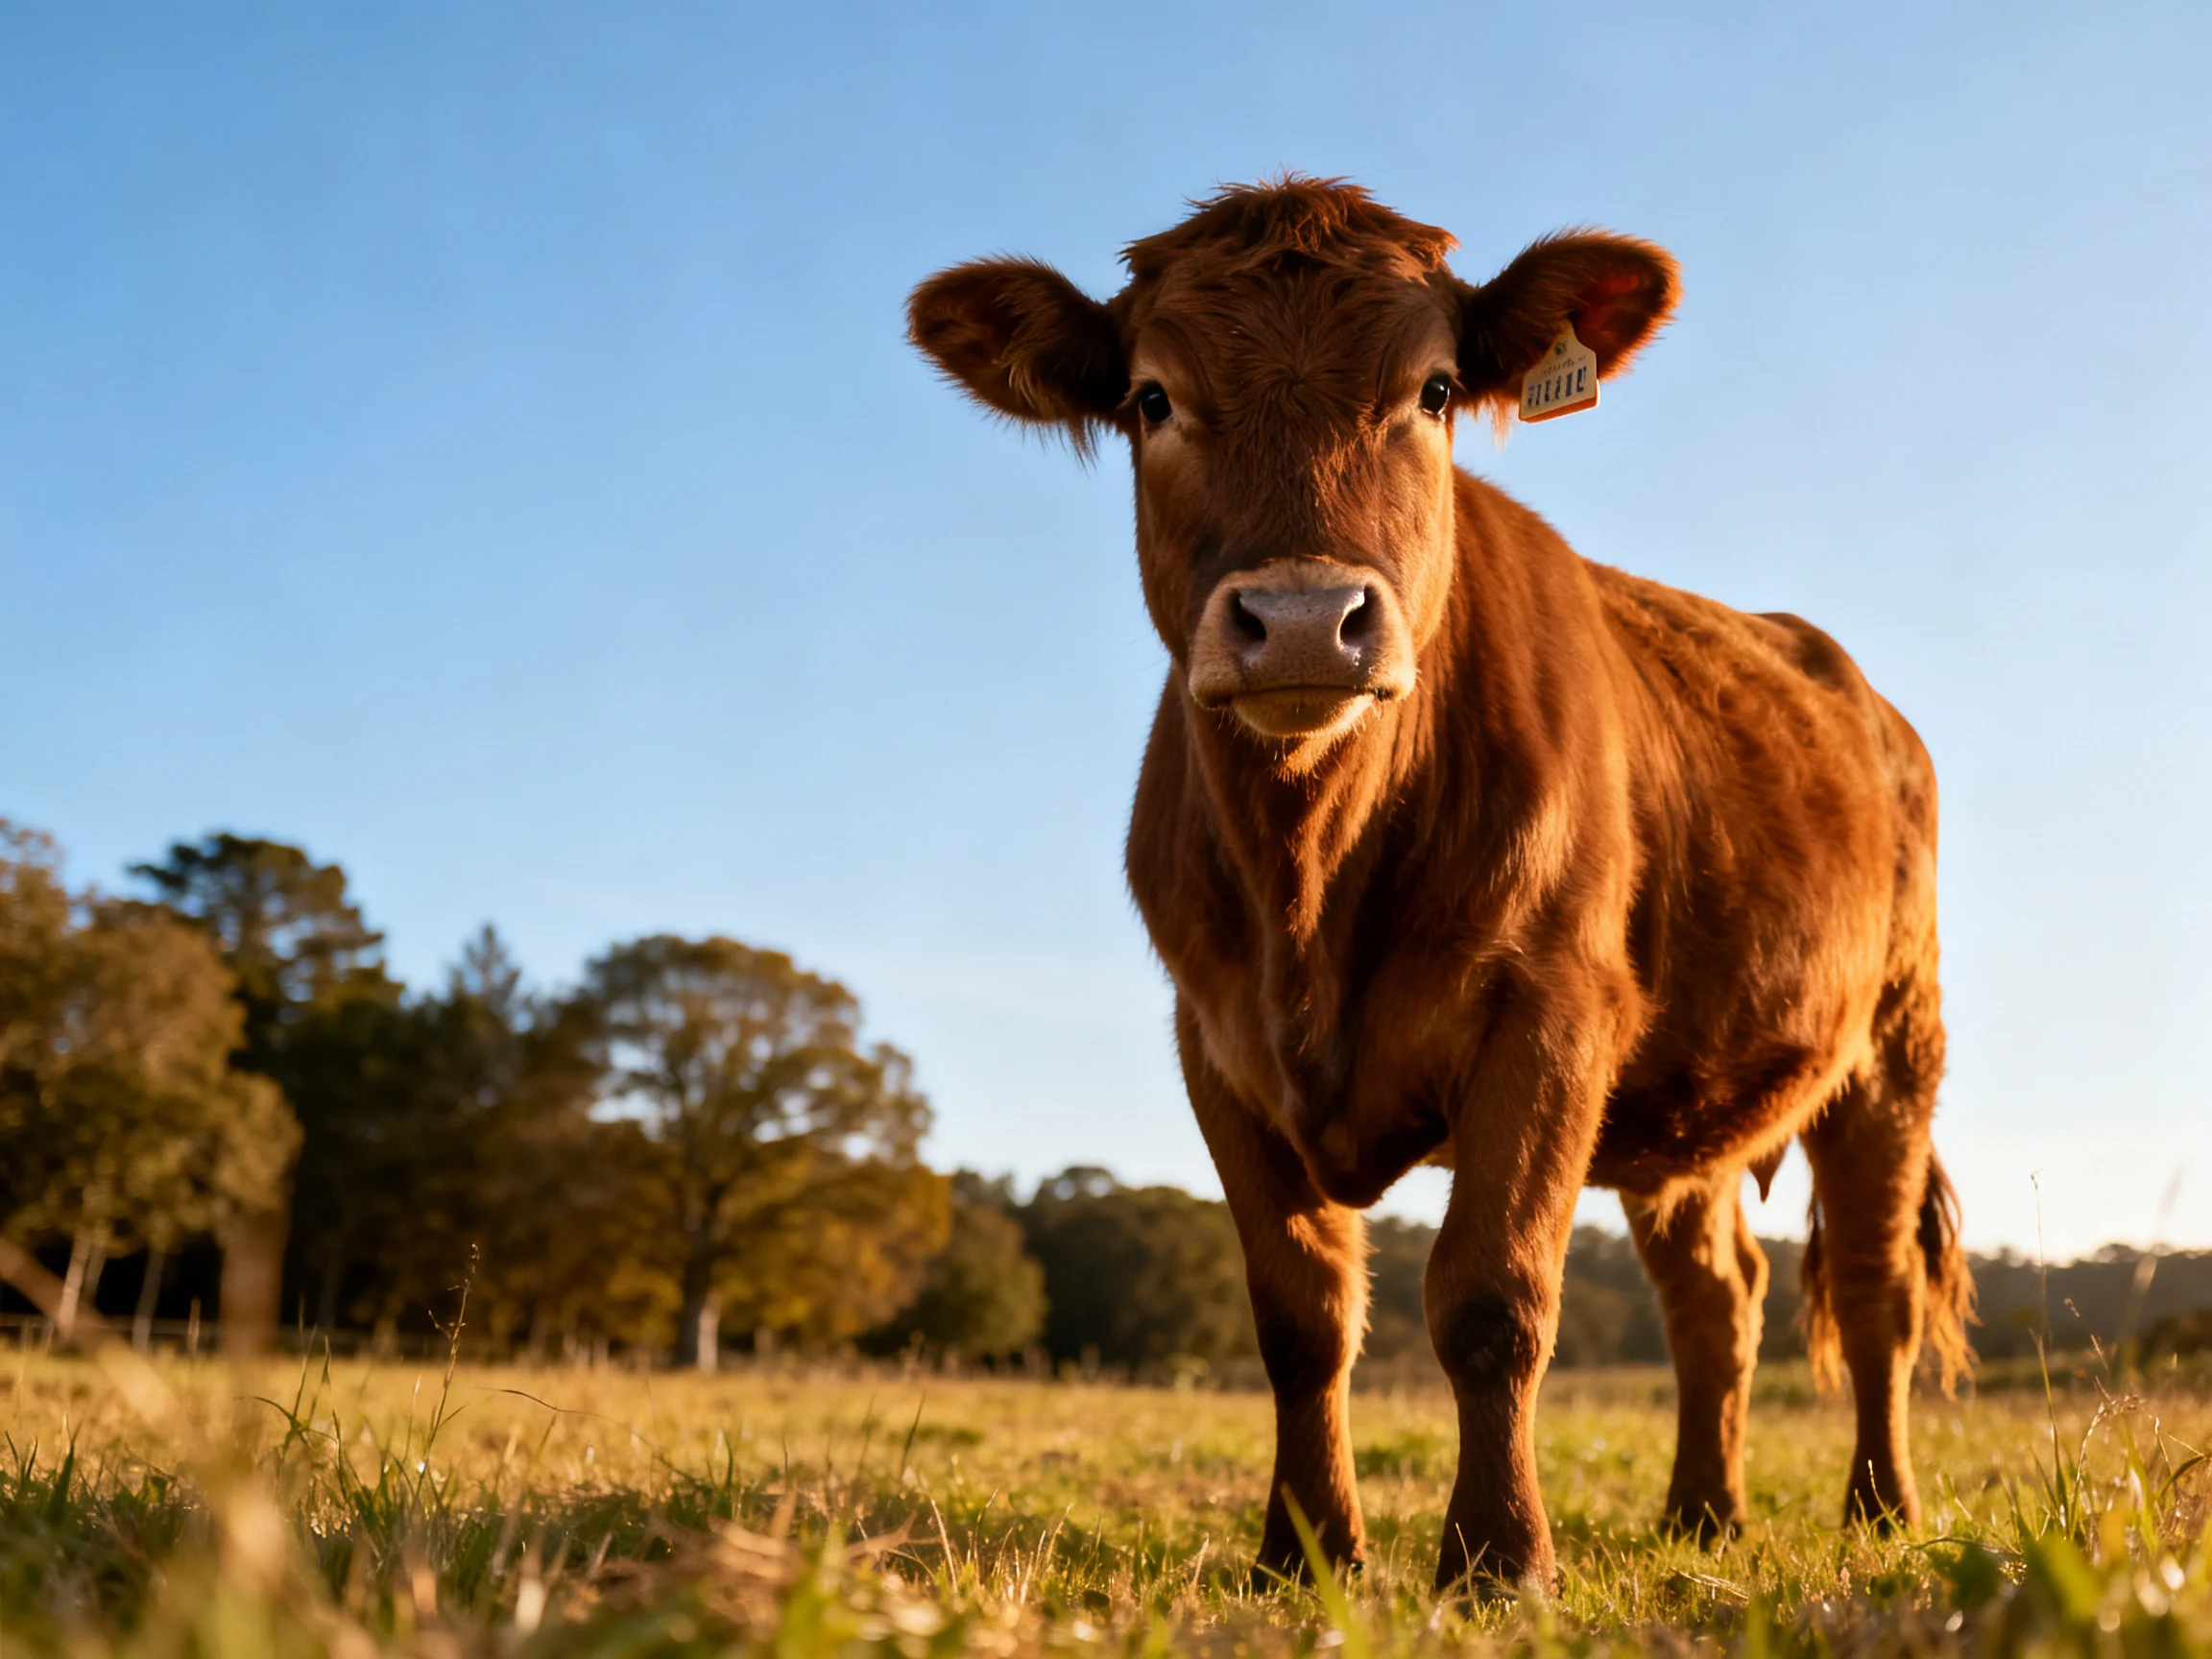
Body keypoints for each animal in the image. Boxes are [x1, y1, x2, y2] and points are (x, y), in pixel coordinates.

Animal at [907, 178, 1971, 1596]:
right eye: (1151, 398)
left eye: (1435, 388)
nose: (1305, 620)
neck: (1311, 886)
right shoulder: (1215, 1044)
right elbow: (1301, 1315)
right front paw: (1304, 1551)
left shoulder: (1552, 1013)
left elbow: (1491, 1296)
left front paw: (1497, 1559)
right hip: (1686, 1098)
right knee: (1718, 1296)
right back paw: (1704, 1514)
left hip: (1894, 1046)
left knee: (1872, 1288)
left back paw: (1882, 1510)